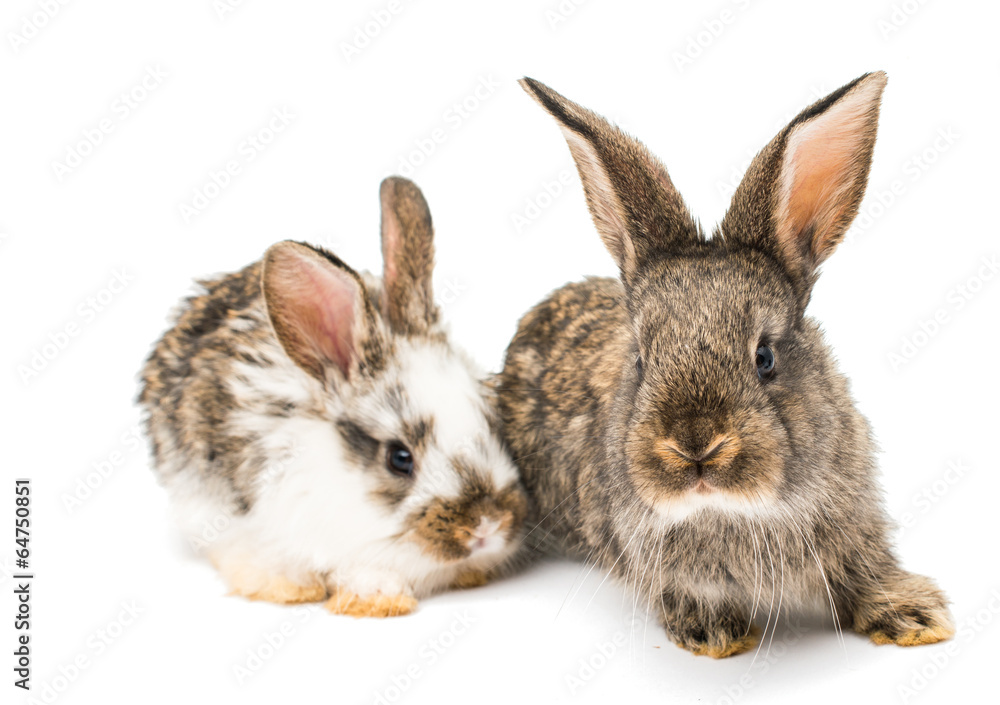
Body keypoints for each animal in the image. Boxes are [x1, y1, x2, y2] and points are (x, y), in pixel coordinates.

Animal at [497, 73, 954, 656]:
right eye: (642, 359)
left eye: (765, 357)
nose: (695, 445)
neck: (734, 509)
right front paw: (715, 632)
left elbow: (867, 571)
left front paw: (916, 617)